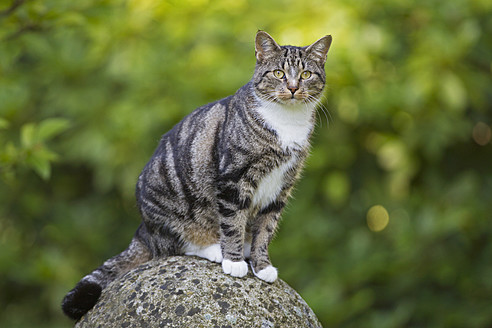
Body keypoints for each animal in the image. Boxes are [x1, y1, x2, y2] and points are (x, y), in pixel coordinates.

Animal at [61, 31, 330, 320]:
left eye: (305, 75)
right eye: (279, 73)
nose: (292, 88)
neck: (286, 122)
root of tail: (144, 229)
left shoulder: (280, 188)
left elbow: (265, 230)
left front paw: (262, 265)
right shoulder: (232, 180)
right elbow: (232, 222)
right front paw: (234, 261)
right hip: (169, 205)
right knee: (174, 246)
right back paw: (215, 249)